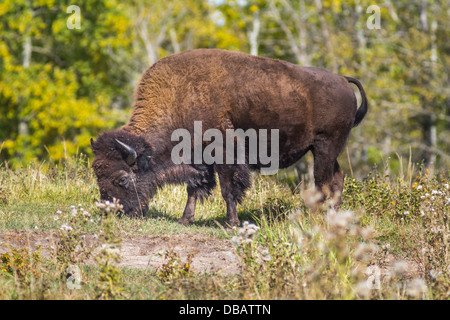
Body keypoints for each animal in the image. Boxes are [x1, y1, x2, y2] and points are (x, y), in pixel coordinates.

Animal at [89, 48, 368, 226]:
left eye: (122, 178)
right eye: (97, 175)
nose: (112, 213)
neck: (180, 95)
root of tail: (342, 80)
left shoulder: (223, 153)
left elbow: (228, 188)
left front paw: (231, 223)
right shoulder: (197, 157)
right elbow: (194, 187)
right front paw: (185, 219)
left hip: (324, 146)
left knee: (323, 183)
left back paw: (316, 219)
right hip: (327, 150)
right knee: (337, 178)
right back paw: (333, 219)